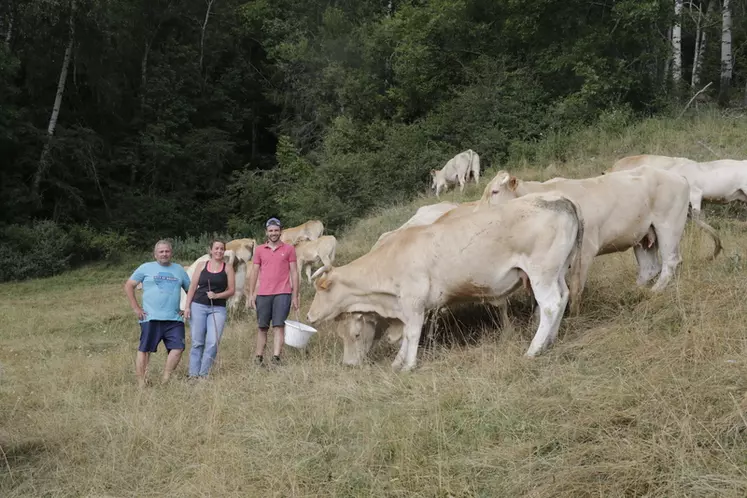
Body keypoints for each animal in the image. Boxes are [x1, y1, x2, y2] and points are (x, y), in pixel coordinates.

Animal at [306, 193, 588, 372]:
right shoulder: (408, 306)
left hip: (541, 272)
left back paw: (534, 349)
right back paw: (550, 341)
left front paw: (408, 366)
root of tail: (560, 199)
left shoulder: (413, 301)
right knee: (563, 297)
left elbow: (412, 333)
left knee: (550, 305)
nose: (309, 315)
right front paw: (398, 362)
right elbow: (407, 334)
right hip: (557, 271)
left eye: (321, 290)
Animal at [480, 165, 724, 314]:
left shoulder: (585, 251)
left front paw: (573, 315)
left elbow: (576, 287)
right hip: (643, 235)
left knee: (671, 261)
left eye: (495, 191)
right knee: (649, 268)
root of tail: (677, 176)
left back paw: (655, 292)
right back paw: (634, 292)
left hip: (669, 226)